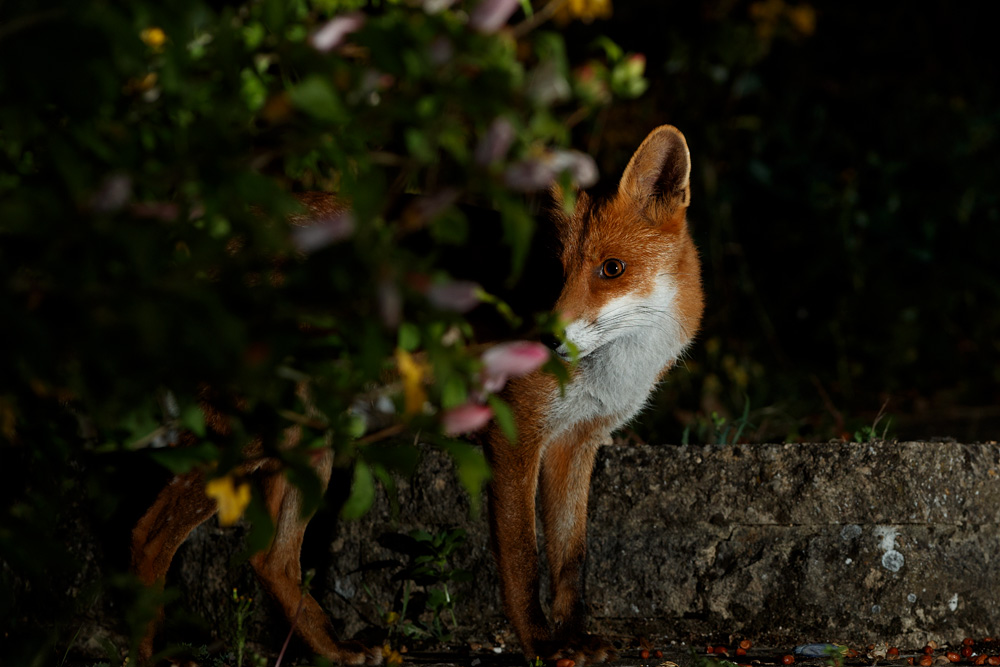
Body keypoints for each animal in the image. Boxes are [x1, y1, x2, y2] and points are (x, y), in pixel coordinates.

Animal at [130, 124, 702, 665]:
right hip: (257, 439)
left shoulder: (575, 444)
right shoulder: (514, 438)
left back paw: (333, 650)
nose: (542, 340)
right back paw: (145, 652)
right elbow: (523, 559)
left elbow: (570, 562)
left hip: (310, 448)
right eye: (552, 276)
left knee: (271, 559)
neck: (616, 369)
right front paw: (541, 645)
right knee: (148, 536)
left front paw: (573, 639)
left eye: (612, 269)